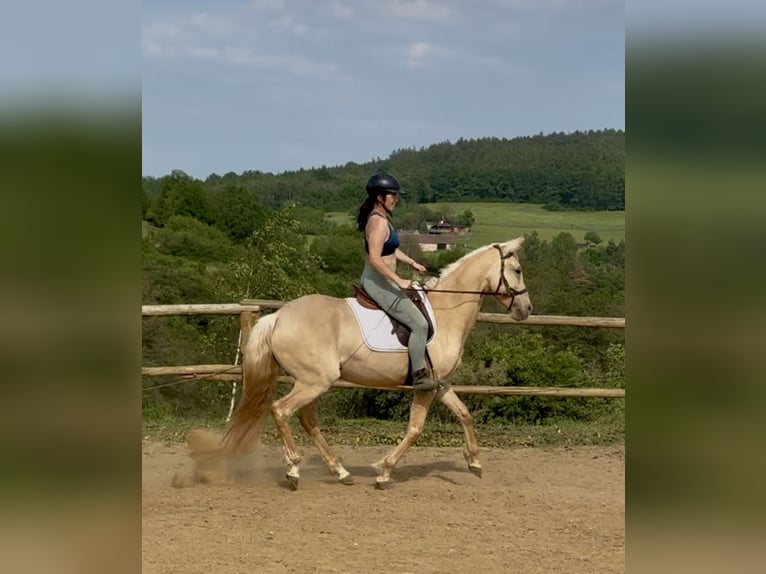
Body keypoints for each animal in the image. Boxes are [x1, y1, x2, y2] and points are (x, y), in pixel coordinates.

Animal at [187, 236, 532, 490]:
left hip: (313, 382)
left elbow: (465, 415)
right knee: (282, 411)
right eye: (516, 270)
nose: (526, 309)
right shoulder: (425, 387)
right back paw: (294, 470)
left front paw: (474, 462)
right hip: (314, 381)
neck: (447, 311)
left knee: (308, 421)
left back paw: (340, 471)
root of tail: (279, 316)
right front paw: (384, 471)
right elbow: (415, 430)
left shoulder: (441, 384)